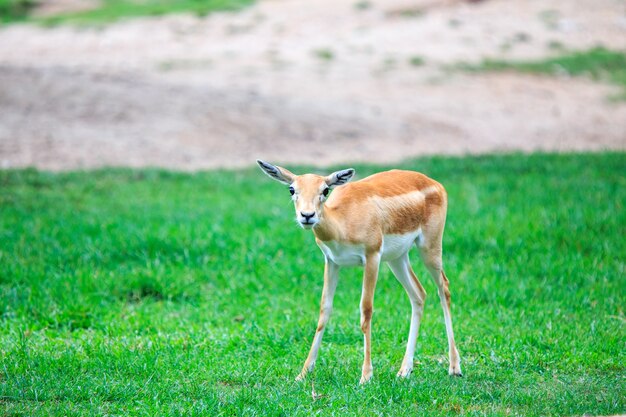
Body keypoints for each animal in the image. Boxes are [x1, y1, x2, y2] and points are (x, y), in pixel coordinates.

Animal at [256, 160, 460, 384]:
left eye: (325, 190)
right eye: (292, 189)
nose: (307, 216)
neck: (342, 222)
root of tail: (434, 183)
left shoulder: (372, 257)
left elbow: (366, 310)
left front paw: (366, 376)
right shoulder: (331, 261)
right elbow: (324, 310)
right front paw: (302, 373)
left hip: (429, 248)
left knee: (444, 288)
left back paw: (454, 367)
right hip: (397, 258)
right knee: (419, 294)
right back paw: (404, 370)